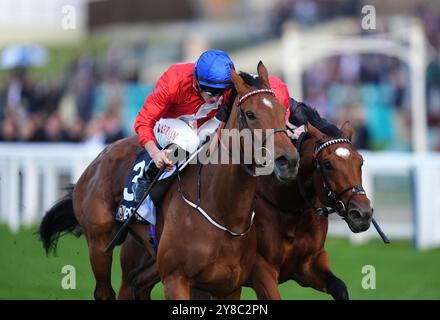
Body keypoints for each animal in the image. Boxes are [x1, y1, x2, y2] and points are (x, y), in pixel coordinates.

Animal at [38, 62, 300, 300]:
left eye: (281, 111)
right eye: (250, 114)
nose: (288, 160)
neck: (222, 210)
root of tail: (99, 158)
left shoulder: (229, 287)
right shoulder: (176, 278)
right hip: (99, 243)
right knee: (104, 291)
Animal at [116, 105, 372, 300]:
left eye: (360, 161)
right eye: (328, 164)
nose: (363, 213)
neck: (286, 207)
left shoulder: (308, 264)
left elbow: (340, 288)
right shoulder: (261, 270)